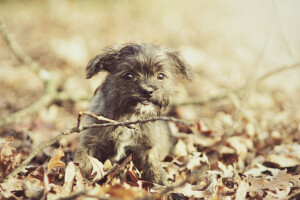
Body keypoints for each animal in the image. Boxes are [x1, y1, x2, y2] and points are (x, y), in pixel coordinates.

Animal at [74, 43, 192, 185]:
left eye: (160, 76)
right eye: (128, 75)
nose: (147, 91)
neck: (130, 115)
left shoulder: (148, 147)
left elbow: (154, 165)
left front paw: (160, 184)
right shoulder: (89, 143)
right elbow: (82, 162)